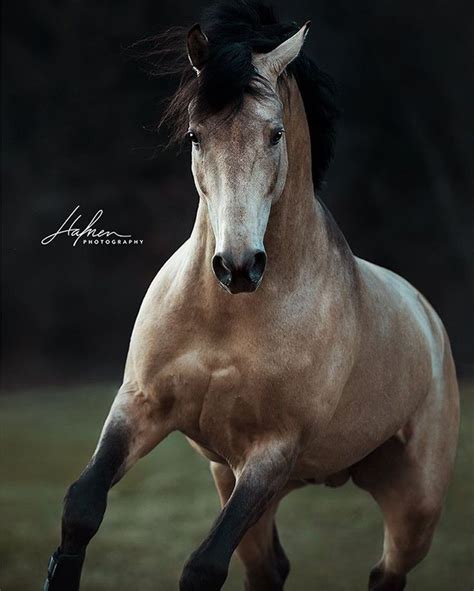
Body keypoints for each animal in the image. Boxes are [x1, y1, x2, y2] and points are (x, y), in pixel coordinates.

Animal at [43, 2, 460, 588]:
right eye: (196, 136)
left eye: (275, 134)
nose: (238, 266)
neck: (227, 318)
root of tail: (427, 316)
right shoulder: (142, 406)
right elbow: (82, 507)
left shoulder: (272, 452)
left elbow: (203, 566)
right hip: (237, 479)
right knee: (271, 568)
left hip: (412, 503)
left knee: (387, 572)